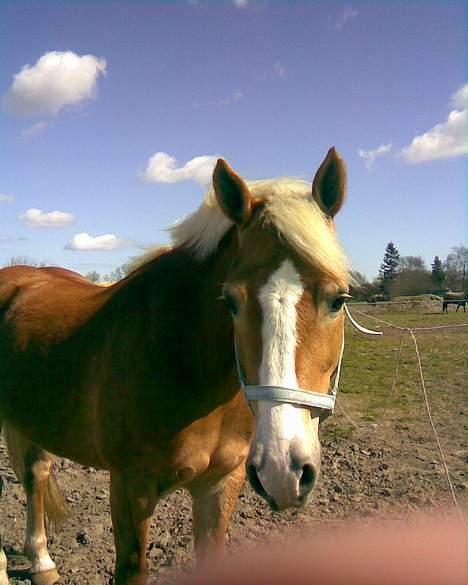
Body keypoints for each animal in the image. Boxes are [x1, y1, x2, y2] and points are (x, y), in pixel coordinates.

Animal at [0, 147, 352, 584]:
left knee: (35, 473)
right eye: (231, 301)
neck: (182, 361)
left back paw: (42, 562)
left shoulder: (219, 485)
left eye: (338, 299)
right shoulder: (130, 489)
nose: (282, 471)